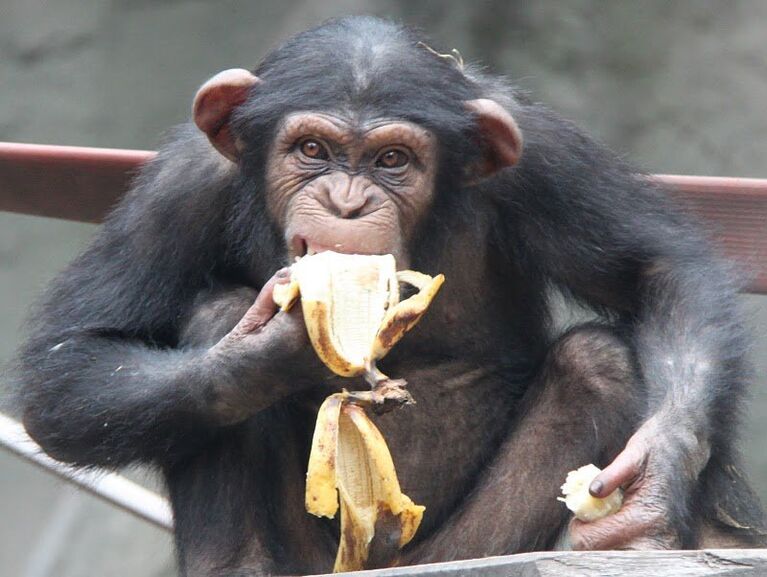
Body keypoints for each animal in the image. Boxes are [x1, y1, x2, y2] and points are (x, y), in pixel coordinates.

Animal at [13, 14, 767, 576]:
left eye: (392, 160)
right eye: (311, 150)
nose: (346, 202)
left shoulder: (546, 159)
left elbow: (656, 270)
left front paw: (652, 490)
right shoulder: (180, 187)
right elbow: (72, 361)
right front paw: (270, 354)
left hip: (463, 549)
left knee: (598, 361)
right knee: (211, 316)